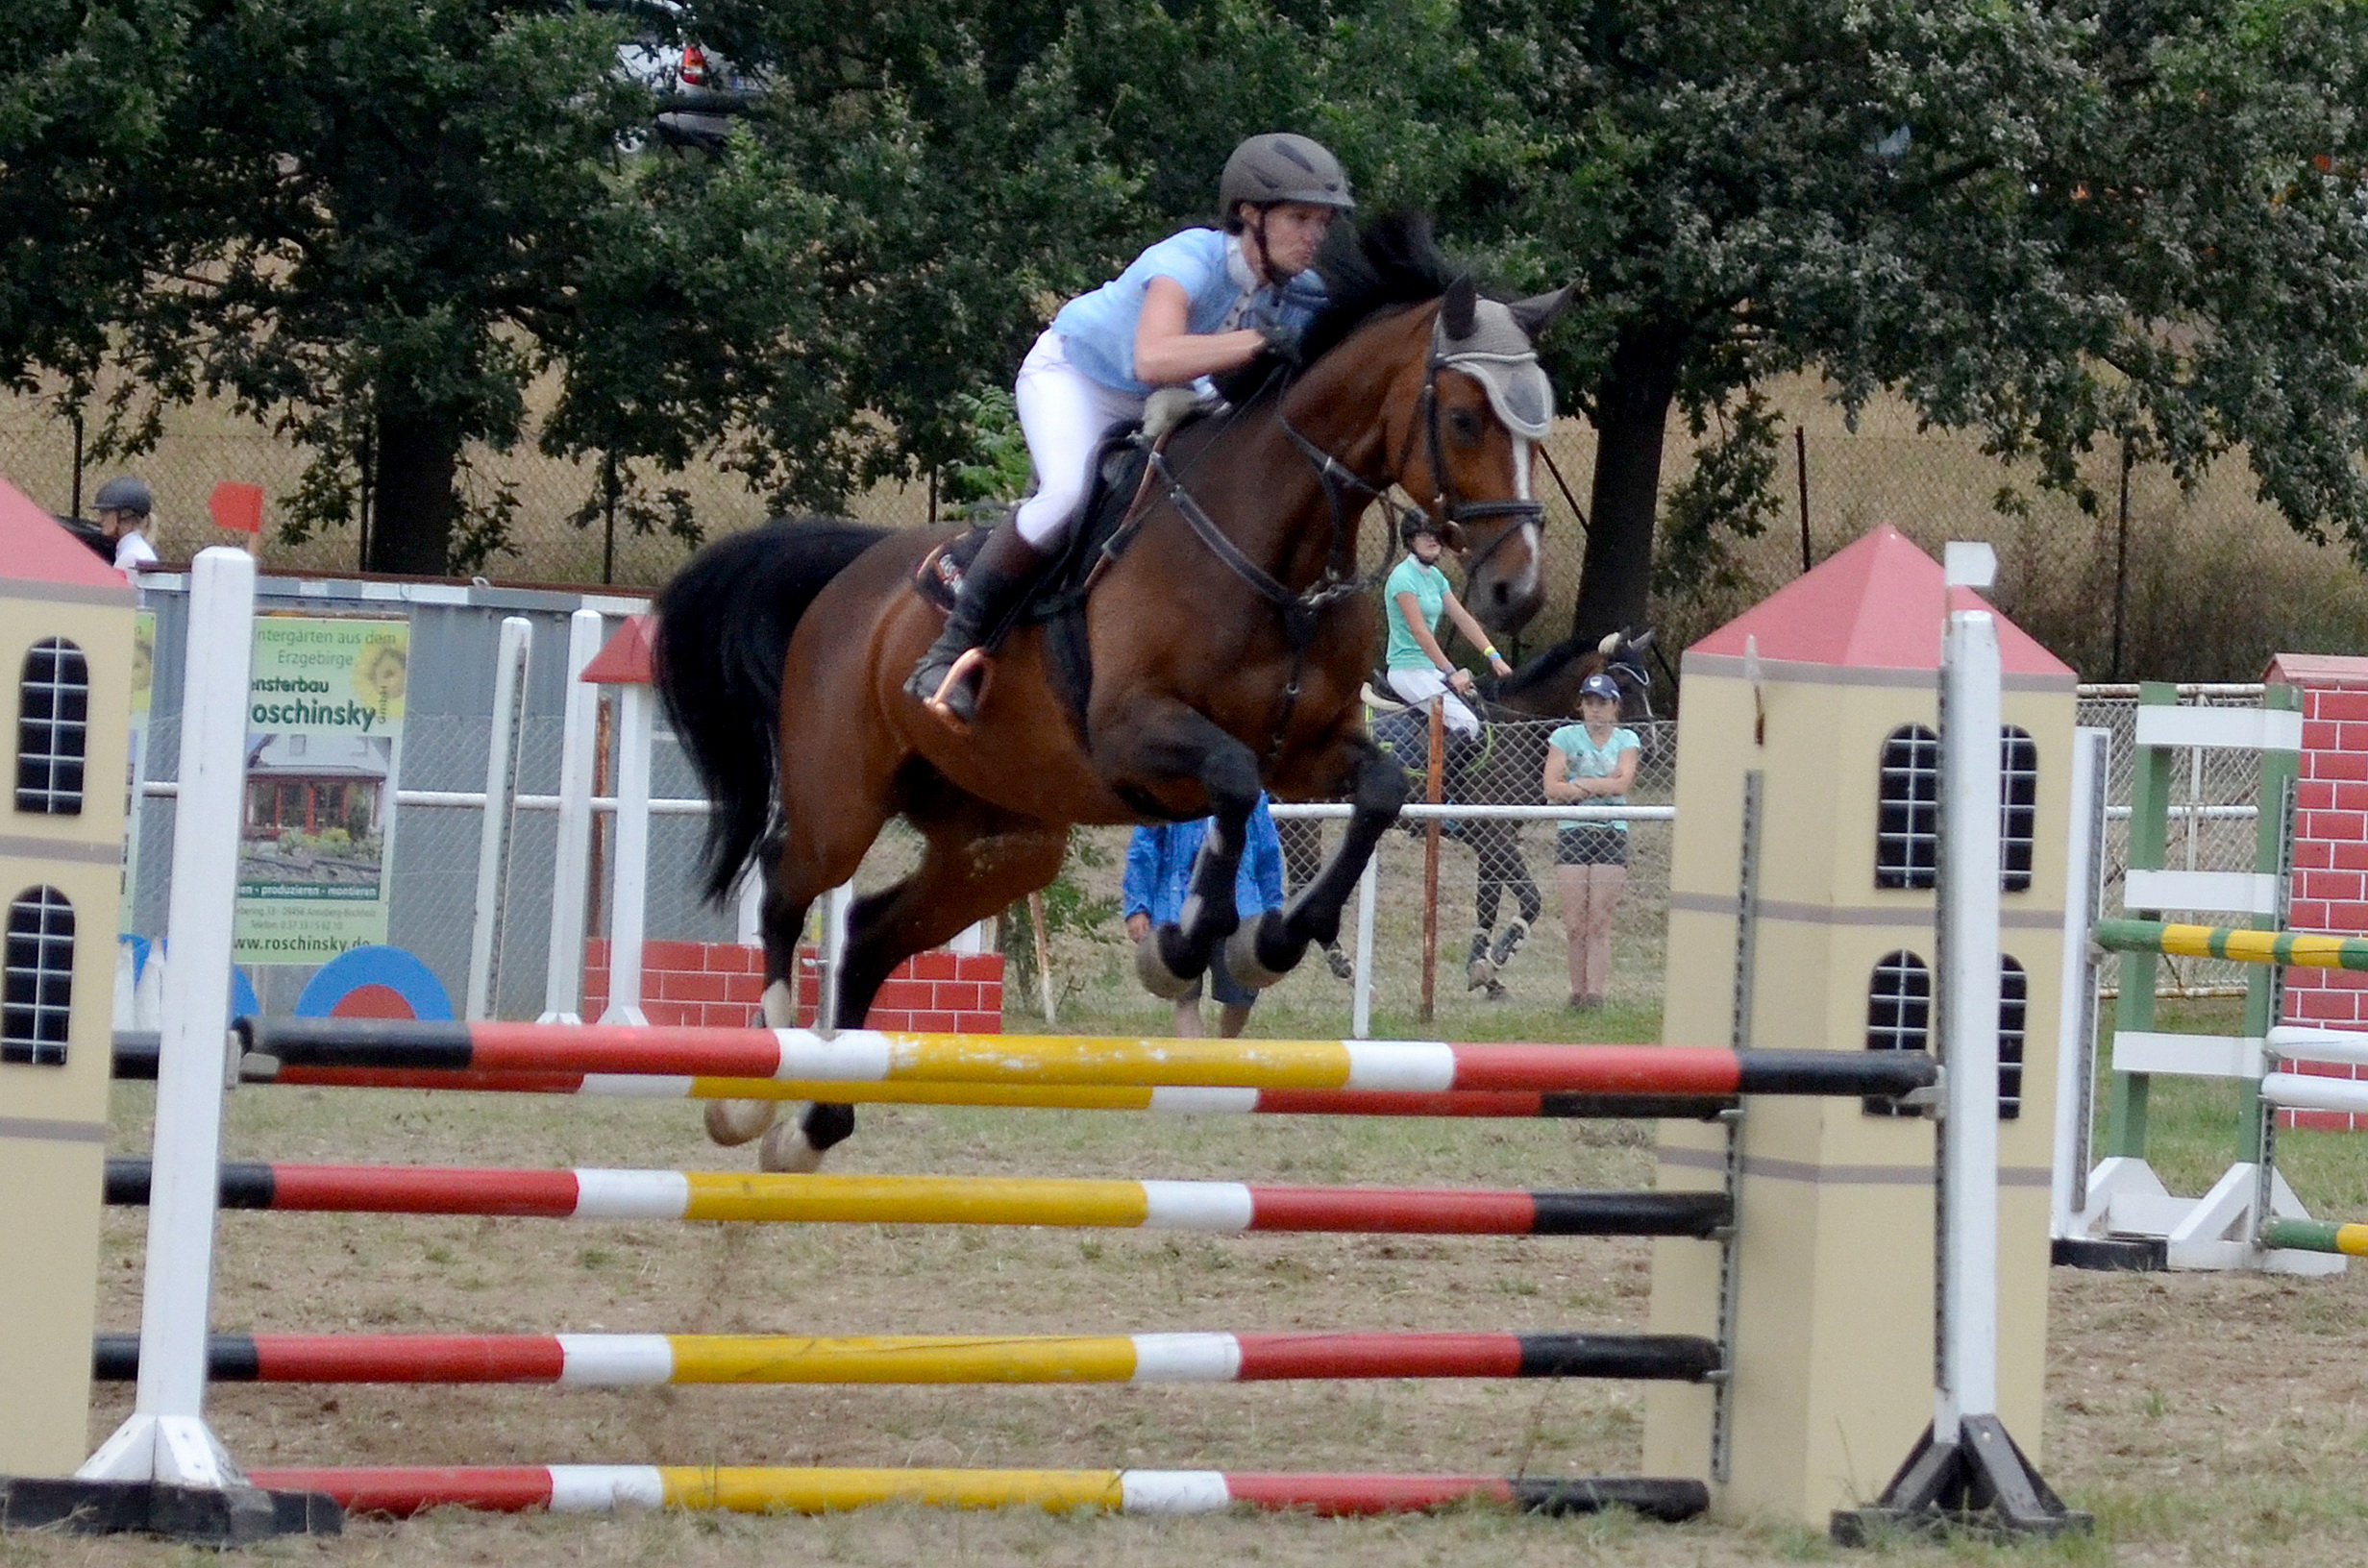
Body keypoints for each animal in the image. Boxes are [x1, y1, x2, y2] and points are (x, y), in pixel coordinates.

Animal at [655, 215, 1571, 1171]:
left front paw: (1267, 944)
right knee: (785, 888)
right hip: (842, 801)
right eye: (1463, 418)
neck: (1272, 551)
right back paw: (754, 1096)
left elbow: (1380, 793)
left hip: (1004, 842)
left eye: (1538, 432)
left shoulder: (1311, 751)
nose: (1517, 593)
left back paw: (815, 1123)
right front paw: (1182, 950)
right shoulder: (1137, 734)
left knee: (870, 929)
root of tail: (850, 571)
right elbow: (1232, 783)